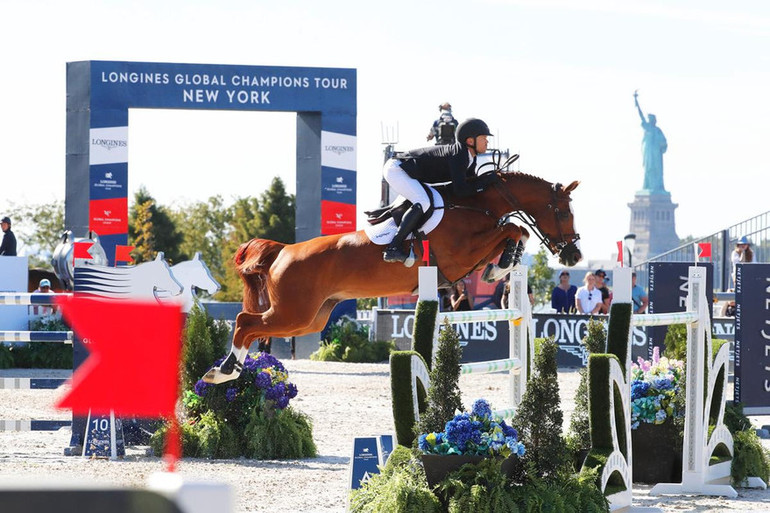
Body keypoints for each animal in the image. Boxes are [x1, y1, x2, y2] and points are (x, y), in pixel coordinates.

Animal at [201, 170, 580, 382]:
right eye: (562, 212)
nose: (573, 255)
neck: (475, 203)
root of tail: (283, 250)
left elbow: (514, 230)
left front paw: (503, 263)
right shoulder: (460, 255)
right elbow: (514, 228)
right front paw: (500, 265)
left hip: (309, 318)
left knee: (253, 326)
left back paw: (227, 370)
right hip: (292, 312)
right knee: (245, 322)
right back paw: (222, 372)